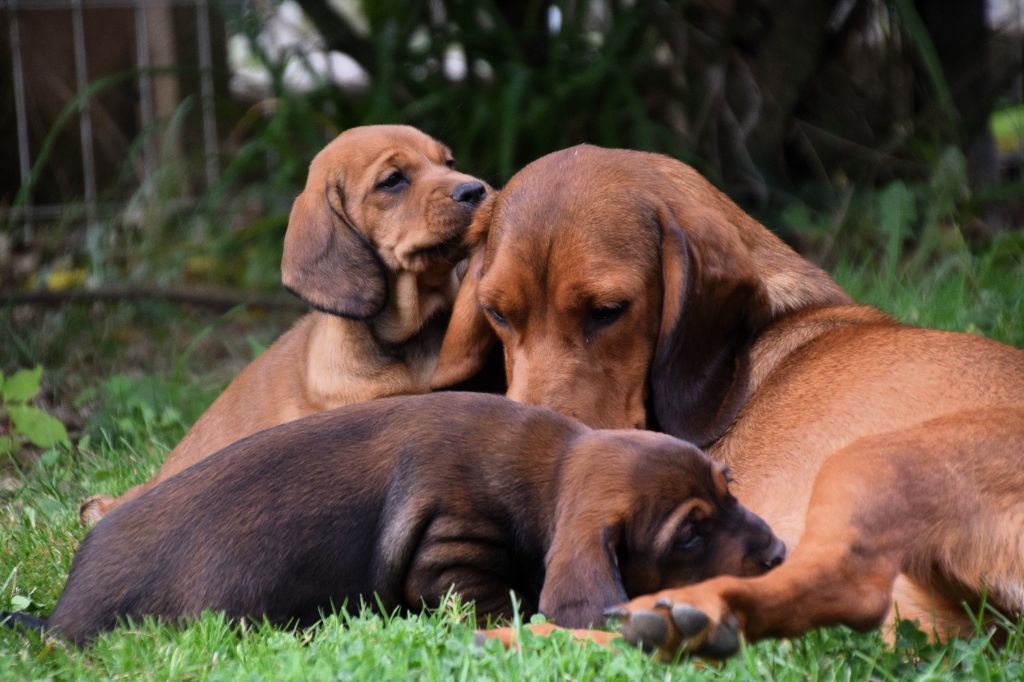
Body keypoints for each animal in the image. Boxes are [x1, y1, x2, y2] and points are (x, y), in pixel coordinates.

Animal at [2, 391, 782, 647]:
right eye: (689, 533)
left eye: (730, 489)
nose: (779, 555)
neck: (549, 475)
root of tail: (63, 617)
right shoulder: (454, 552)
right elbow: (486, 600)